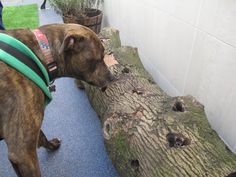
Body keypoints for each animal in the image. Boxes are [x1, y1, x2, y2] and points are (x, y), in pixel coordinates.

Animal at [0, 23, 115, 177]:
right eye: (98, 59)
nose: (113, 78)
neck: (44, 52)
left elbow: (41, 135)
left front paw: (50, 145)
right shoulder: (22, 152)